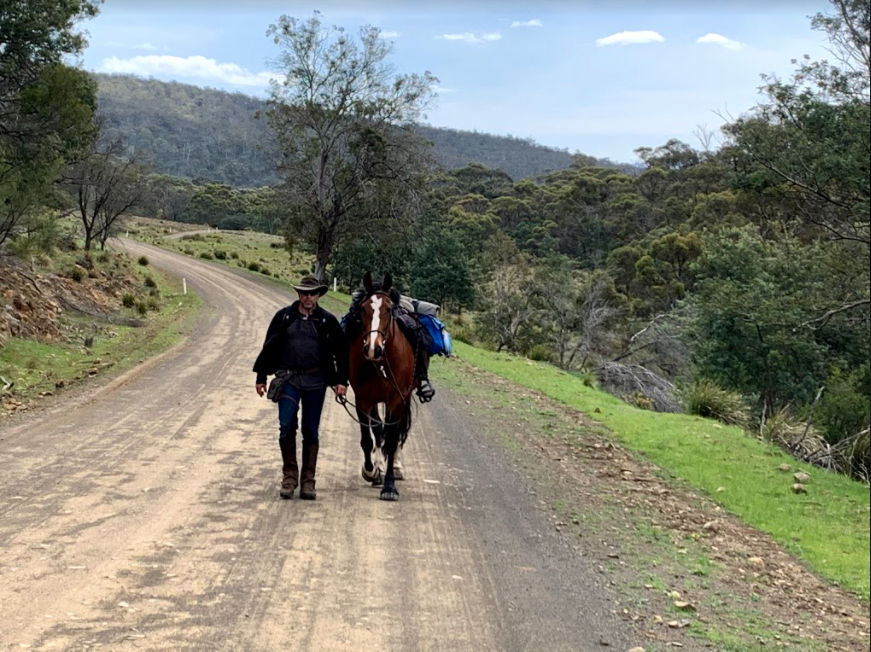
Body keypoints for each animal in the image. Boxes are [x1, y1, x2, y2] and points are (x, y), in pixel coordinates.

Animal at [346, 272, 418, 502]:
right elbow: (368, 439)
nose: (373, 349)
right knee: (378, 429)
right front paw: (371, 471)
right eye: (362, 309)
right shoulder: (363, 399)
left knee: (398, 430)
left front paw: (389, 486)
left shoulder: (396, 399)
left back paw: (395, 467)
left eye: (388, 309)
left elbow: (393, 439)